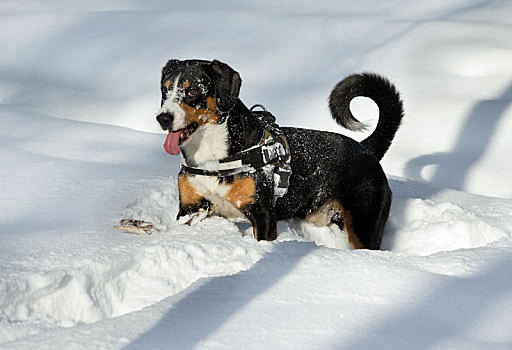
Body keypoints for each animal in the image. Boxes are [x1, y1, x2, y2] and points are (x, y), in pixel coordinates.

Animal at [156, 58, 404, 249]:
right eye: (165, 90)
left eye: (192, 90)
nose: (163, 118)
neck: (212, 158)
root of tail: (366, 149)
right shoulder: (191, 208)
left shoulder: (263, 214)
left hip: (364, 224)